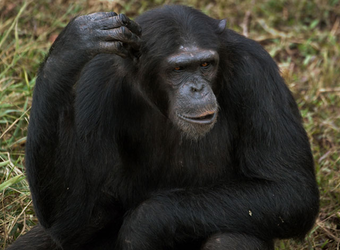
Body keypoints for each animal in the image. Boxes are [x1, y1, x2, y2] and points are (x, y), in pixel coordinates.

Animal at [7, 4, 318, 250]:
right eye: (178, 69)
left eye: (206, 64)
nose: (197, 88)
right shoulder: (95, 84)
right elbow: (75, 221)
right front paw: (72, 47)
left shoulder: (256, 72)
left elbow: (289, 191)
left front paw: (142, 227)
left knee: (231, 237)